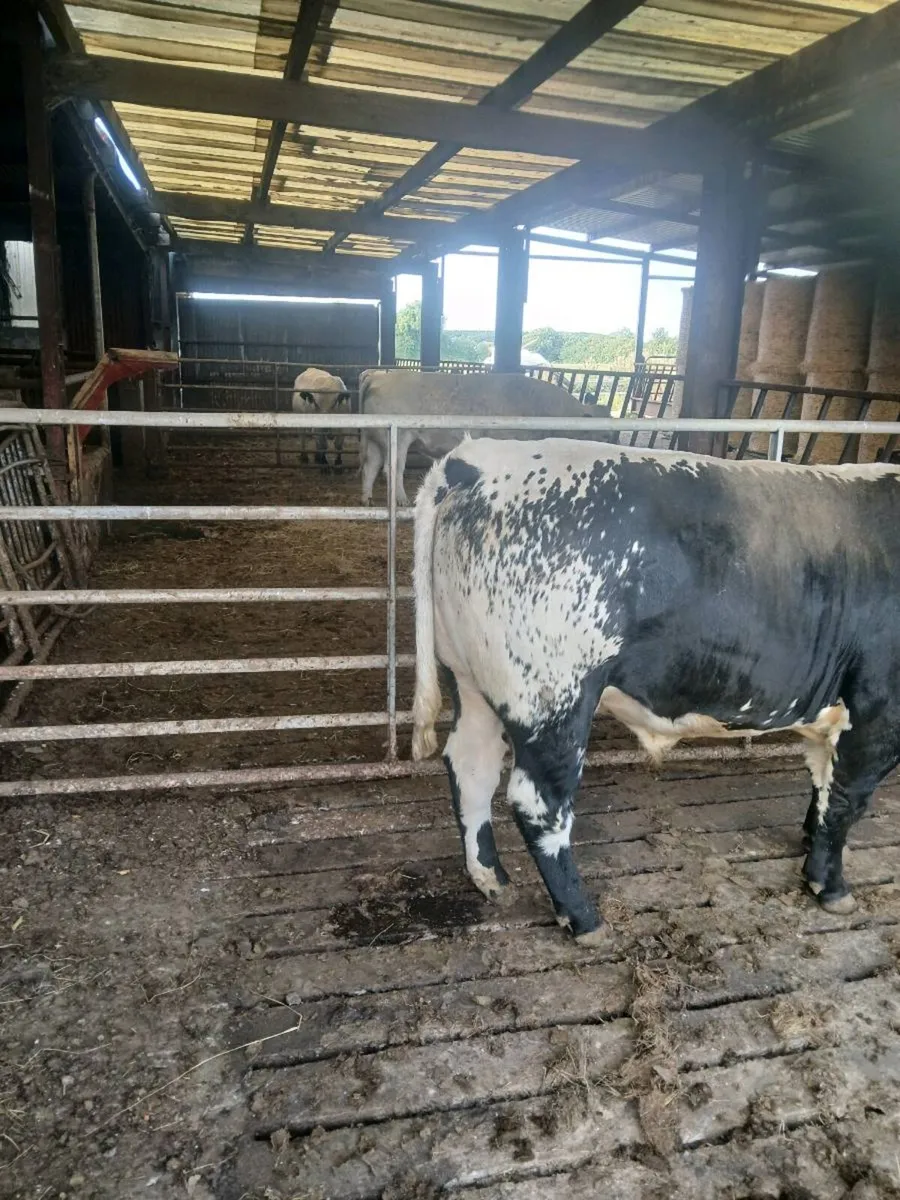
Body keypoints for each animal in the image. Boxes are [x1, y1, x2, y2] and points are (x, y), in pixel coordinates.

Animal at [358, 369, 612, 506]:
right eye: (604, 433)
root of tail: (379, 375)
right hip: (399, 437)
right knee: (392, 469)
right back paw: (401, 500)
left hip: (376, 439)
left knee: (371, 467)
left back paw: (366, 499)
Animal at [411, 437, 900, 944]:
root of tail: (478, 458)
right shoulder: (879, 710)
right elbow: (846, 799)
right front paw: (830, 884)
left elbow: (822, 788)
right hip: (554, 697)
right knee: (539, 802)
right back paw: (583, 917)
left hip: (471, 681)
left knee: (472, 767)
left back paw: (490, 877)